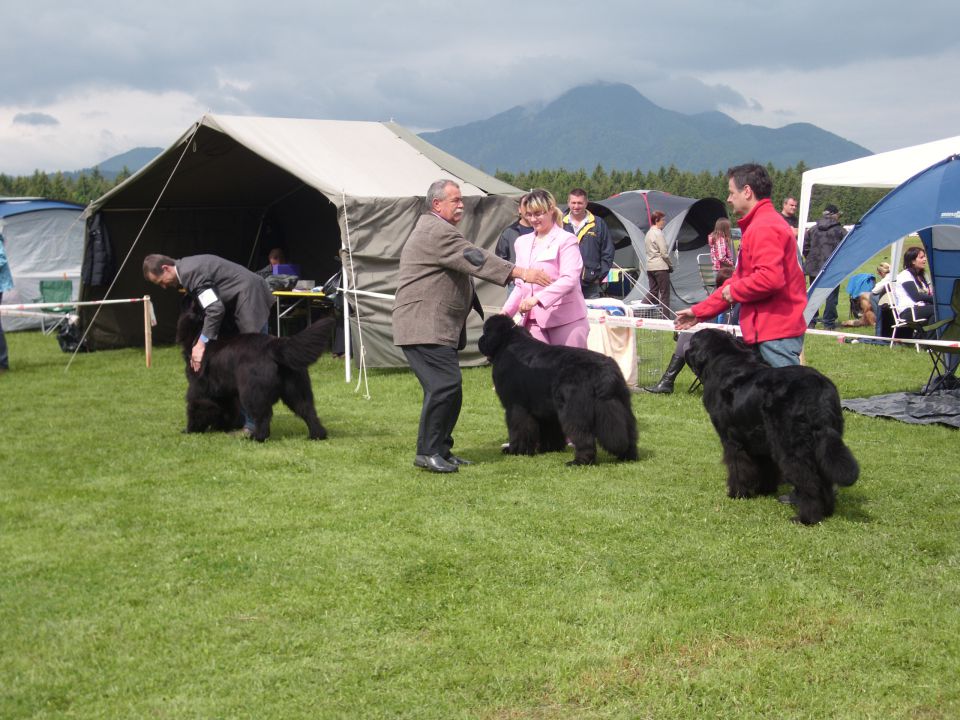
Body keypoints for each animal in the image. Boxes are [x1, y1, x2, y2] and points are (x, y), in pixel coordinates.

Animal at [175, 296, 334, 442]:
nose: (186, 299)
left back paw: (257, 437)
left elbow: (196, 406)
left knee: (263, 415)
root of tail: (274, 346)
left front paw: (191, 429)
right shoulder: (225, 391)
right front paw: (222, 427)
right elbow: (226, 409)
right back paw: (317, 435)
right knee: (308, 410)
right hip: (296, 390)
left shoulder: (198, 387)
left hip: (252, 391)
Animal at [478, 316, 636, 466]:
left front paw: (515, 450)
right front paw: (549, 448)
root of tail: (605, 372)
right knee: (629, 432)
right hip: (621, 403)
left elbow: (518, 429)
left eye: (485, 331)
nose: (479, 341)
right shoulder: (545, 407)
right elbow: (550, 429)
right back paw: (627, 456)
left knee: (583, 436)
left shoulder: (516, 406)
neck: (508, 342)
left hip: (574, 411)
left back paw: (579, 461)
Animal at [688, 330, 860, 524]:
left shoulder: (732, 440)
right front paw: (764, 490)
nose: (679, 338)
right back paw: (827, 511)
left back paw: (806, 518)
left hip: (791, 446)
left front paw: (737, 493)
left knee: (809, 481)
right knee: (824, 479)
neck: (723, 358)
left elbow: (738, 466)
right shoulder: (761, 438)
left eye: (690, 342)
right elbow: (766, 467)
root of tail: (818, 390)